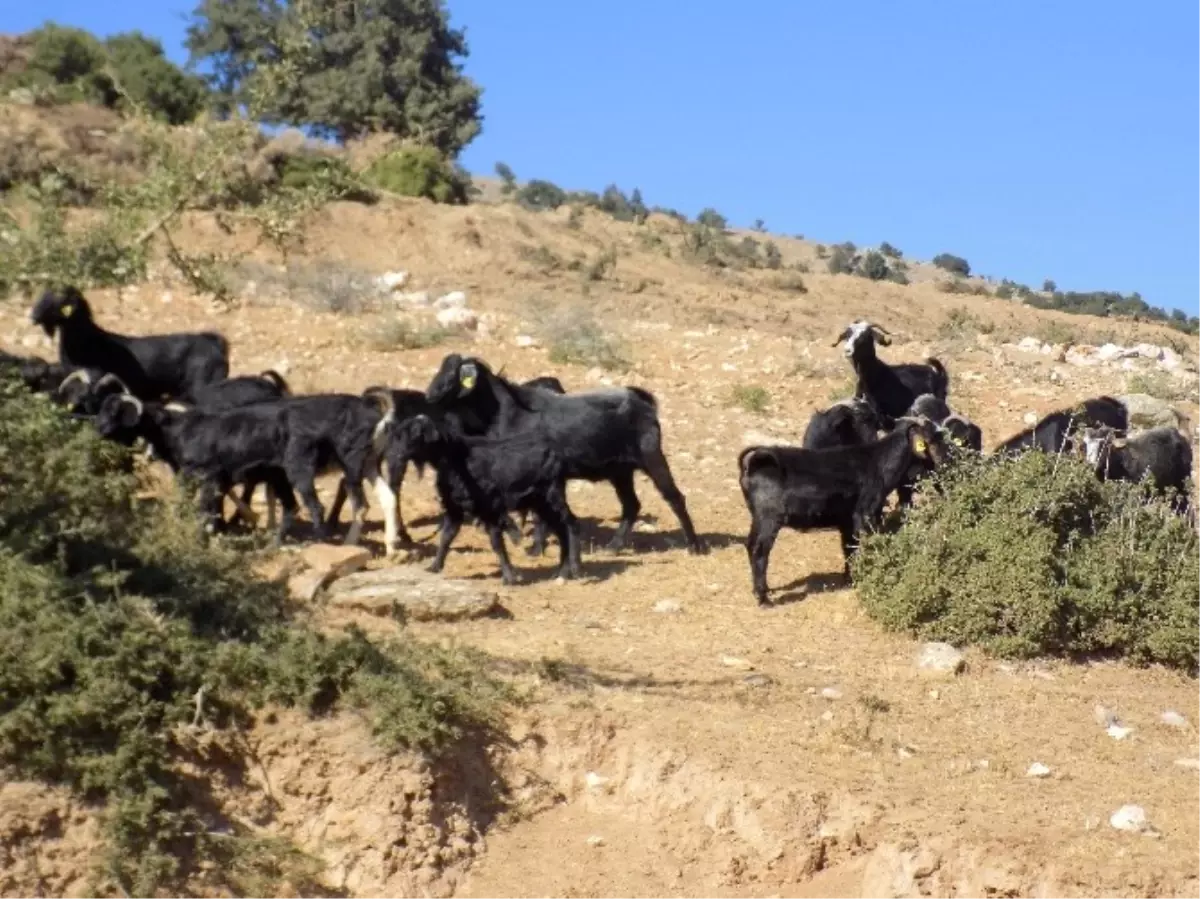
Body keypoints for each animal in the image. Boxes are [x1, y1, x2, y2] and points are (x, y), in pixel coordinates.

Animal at [391, 412, 583, 583]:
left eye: (415, 434)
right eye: (400, 434)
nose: (398, 455)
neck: (457, 459)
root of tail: (556, 452)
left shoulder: (490, 509)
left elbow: (496, 542)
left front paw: (509, 577)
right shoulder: (454, 508)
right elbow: (446, 537)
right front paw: (434, 567)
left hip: (552, 496)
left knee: (570, 523)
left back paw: (574, 568)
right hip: (541, 503)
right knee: (561, 530)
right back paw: (561, 571)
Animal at [739, 420, 945, 602]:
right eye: (932, 440)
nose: (944, 461)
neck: (879, 465)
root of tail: (755, 463)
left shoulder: (847, 522)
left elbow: (849, 548)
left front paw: (850, 580)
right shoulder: (864, 515)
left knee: (751, 546)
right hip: (769, 519)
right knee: (759, 550)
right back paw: (763, 598)